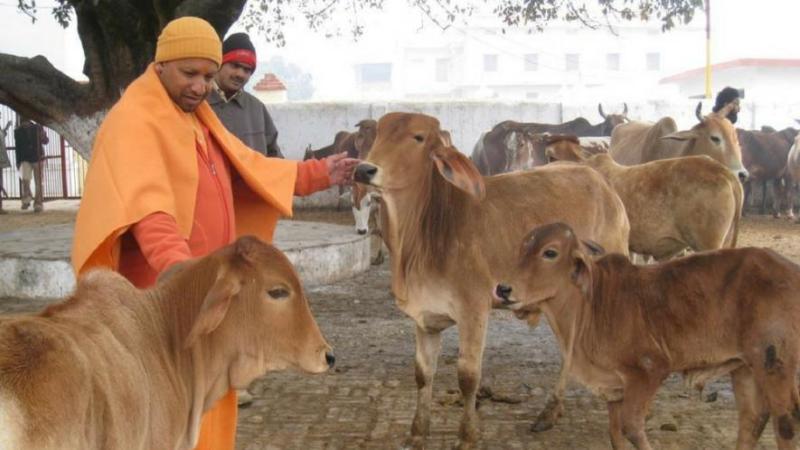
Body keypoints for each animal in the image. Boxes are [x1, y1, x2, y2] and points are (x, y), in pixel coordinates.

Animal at [353, 112, 630, 448]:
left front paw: (467, 436)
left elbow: (468, 377)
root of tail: (601, 182)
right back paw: (551, 411)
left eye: (418, 137)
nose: (364, 169)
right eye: (378, 133)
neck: (427, 232)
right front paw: (418, 433)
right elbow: (423, 374)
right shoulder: (424, 317)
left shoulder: (474, 310)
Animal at [496, 222, 800, 450]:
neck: (590, 305)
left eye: (550, 252)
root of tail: (791, 270)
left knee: (785, 424)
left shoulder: (648, 371)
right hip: (745, 368)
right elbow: (615, 434)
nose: (503, 289)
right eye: (522, 248)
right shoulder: (615, 389)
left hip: (775, 364)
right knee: (752, 420)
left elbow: (632, 428)